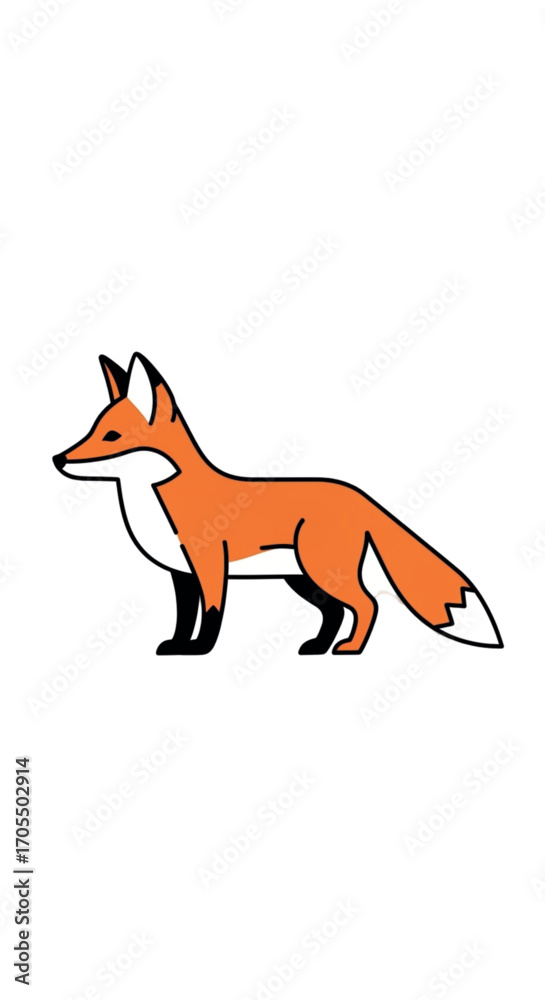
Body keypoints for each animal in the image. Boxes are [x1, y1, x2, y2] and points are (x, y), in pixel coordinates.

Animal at [53, 352, 503, 656]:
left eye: (112, 436)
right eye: (92, 429)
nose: (58, 459)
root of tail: (358, 493)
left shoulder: (210, 566)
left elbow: (212, 615)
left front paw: (200, 650)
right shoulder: (181, 574)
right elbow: (184, 618)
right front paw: (179, 645)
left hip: (323, 572)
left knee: (367, 604)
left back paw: (350, 649)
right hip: (303, 578)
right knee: (335, 613)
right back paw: (319, 646)